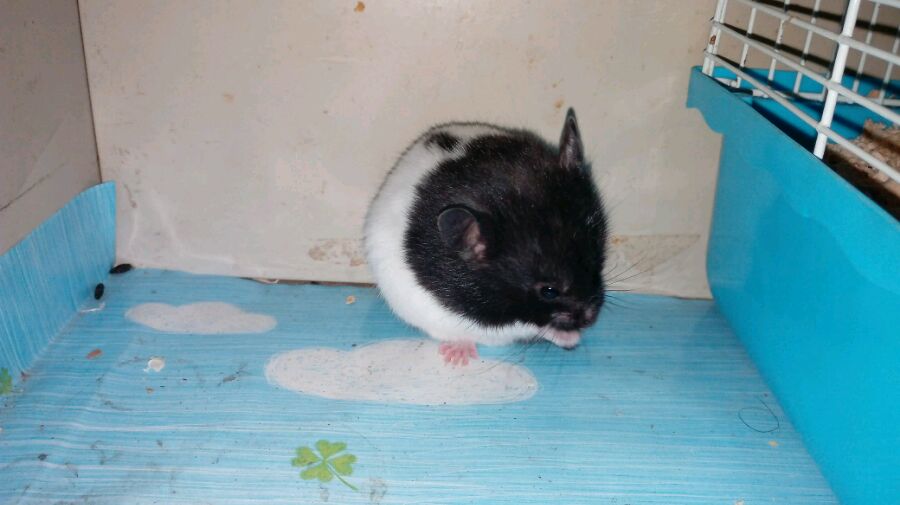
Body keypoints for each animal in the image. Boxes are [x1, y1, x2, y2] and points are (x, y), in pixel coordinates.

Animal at [364, 109, 608, 365]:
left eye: (597, 260)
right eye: (549, 291)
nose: (591, 319)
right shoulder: (491, 320)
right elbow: (530, 325)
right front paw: (572, 338)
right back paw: (457, 356)